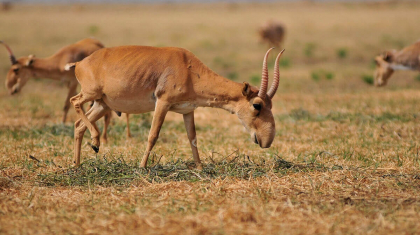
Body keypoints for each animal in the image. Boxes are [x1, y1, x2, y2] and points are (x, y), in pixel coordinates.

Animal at [0, 38, 131, 143]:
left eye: (16, 69)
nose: (10, 88)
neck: (60, 60)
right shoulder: (69, 84)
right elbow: (78, 107)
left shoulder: (73, 82)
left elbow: (66, 105)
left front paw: (63, 126)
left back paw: (109, 138)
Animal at [68, 45, 286, 167]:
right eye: (257, 105)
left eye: (271, 104)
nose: (266, 140)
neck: (188, 67)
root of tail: (80, 63)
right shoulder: (162, 103)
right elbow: (153, 135)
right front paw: (142, 167)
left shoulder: (187, 110)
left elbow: (193, 138)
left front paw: (200, 167)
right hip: (91, 95)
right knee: (75, 102)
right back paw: (95, 142)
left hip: (102, 105)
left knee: (78, 125)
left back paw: (77, 164)